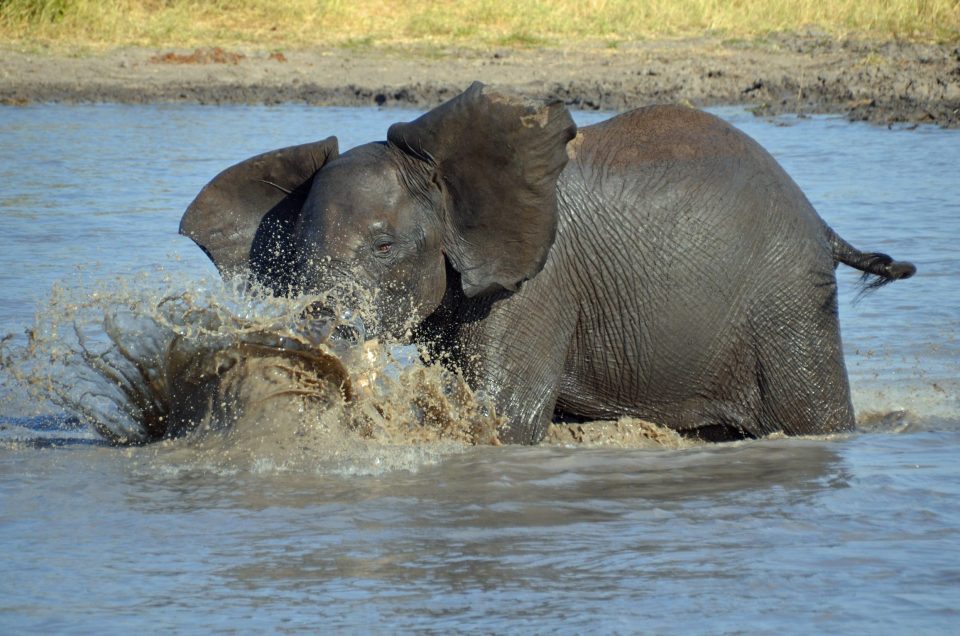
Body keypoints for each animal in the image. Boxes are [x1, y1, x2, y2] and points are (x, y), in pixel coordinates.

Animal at [180, 82, 916, 444]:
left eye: (385, 248)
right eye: (292, 259)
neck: (448, 174)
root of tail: (820, 223)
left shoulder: (537, 285)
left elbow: (501, 419)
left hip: (786, 303)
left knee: (814, 413)